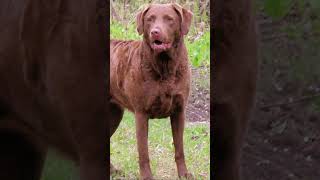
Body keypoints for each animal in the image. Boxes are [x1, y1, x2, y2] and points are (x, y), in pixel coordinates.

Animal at [110, 3, 194, 180]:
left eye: (169, 19)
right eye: (150, 19)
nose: (155, 31)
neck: (165, 68)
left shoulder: (179, 111)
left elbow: (179, 149)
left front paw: (184, 174)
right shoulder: (141, 114)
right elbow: (143, 152)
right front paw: (147, 176)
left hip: (114, 113)